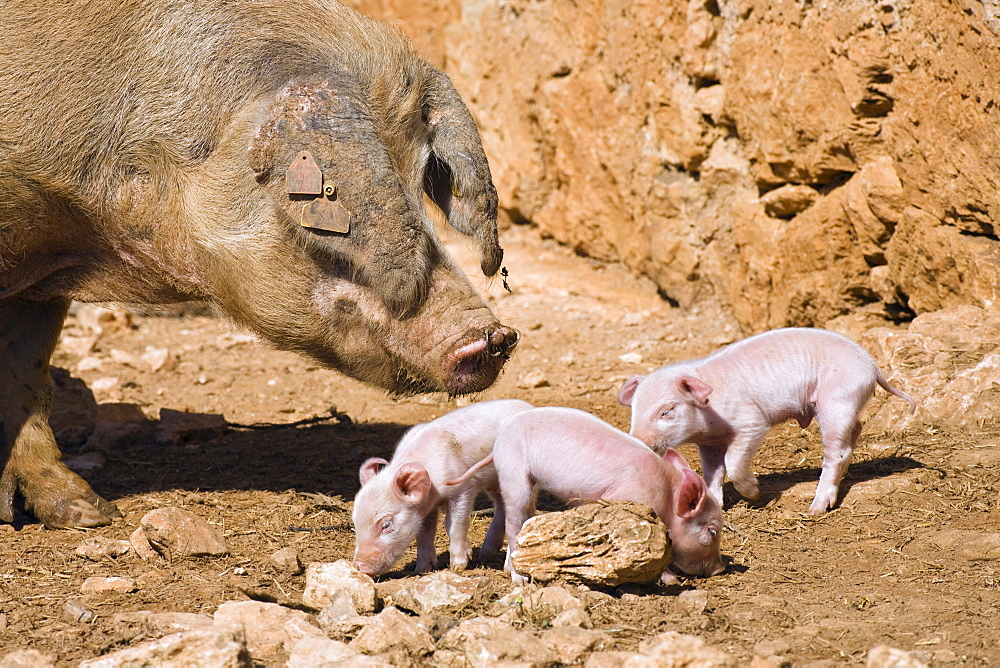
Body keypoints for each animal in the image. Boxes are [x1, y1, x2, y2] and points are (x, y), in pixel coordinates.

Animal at [0, 2, 520, 528]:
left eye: (421, 179)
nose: (496, 336)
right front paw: (84, 515)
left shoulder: (41, 282)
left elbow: (26, 376)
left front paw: (89, 513)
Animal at [352, 400, 532, 576]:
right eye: (354, 521)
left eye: (387, 525)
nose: (360, 566)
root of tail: (529, 406)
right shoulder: (426, 506)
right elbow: (424, 532)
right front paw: (422, 569)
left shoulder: (463, 488)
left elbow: (454, 524)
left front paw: (458, 566)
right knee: (502, 507)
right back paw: (486, 554)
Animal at [458, 404, 724, 580]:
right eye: (711, 531)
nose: (720, 569)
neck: (666, 495)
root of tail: (499, 440)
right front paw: (670, 579)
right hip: (514, 471)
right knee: (514, 521)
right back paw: (519, 579)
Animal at [620, 326, 916, 516]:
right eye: (634, 409)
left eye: (666, 411)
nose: (637, 441)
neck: (708, 419)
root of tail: (873, 367)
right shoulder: (709, 443)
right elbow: (712, 473)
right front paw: (714, 504)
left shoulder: (751, 422)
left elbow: (733, 463)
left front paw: (754, 494)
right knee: (855, 430)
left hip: (837, 399)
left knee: (837, 451)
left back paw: (815, 509)